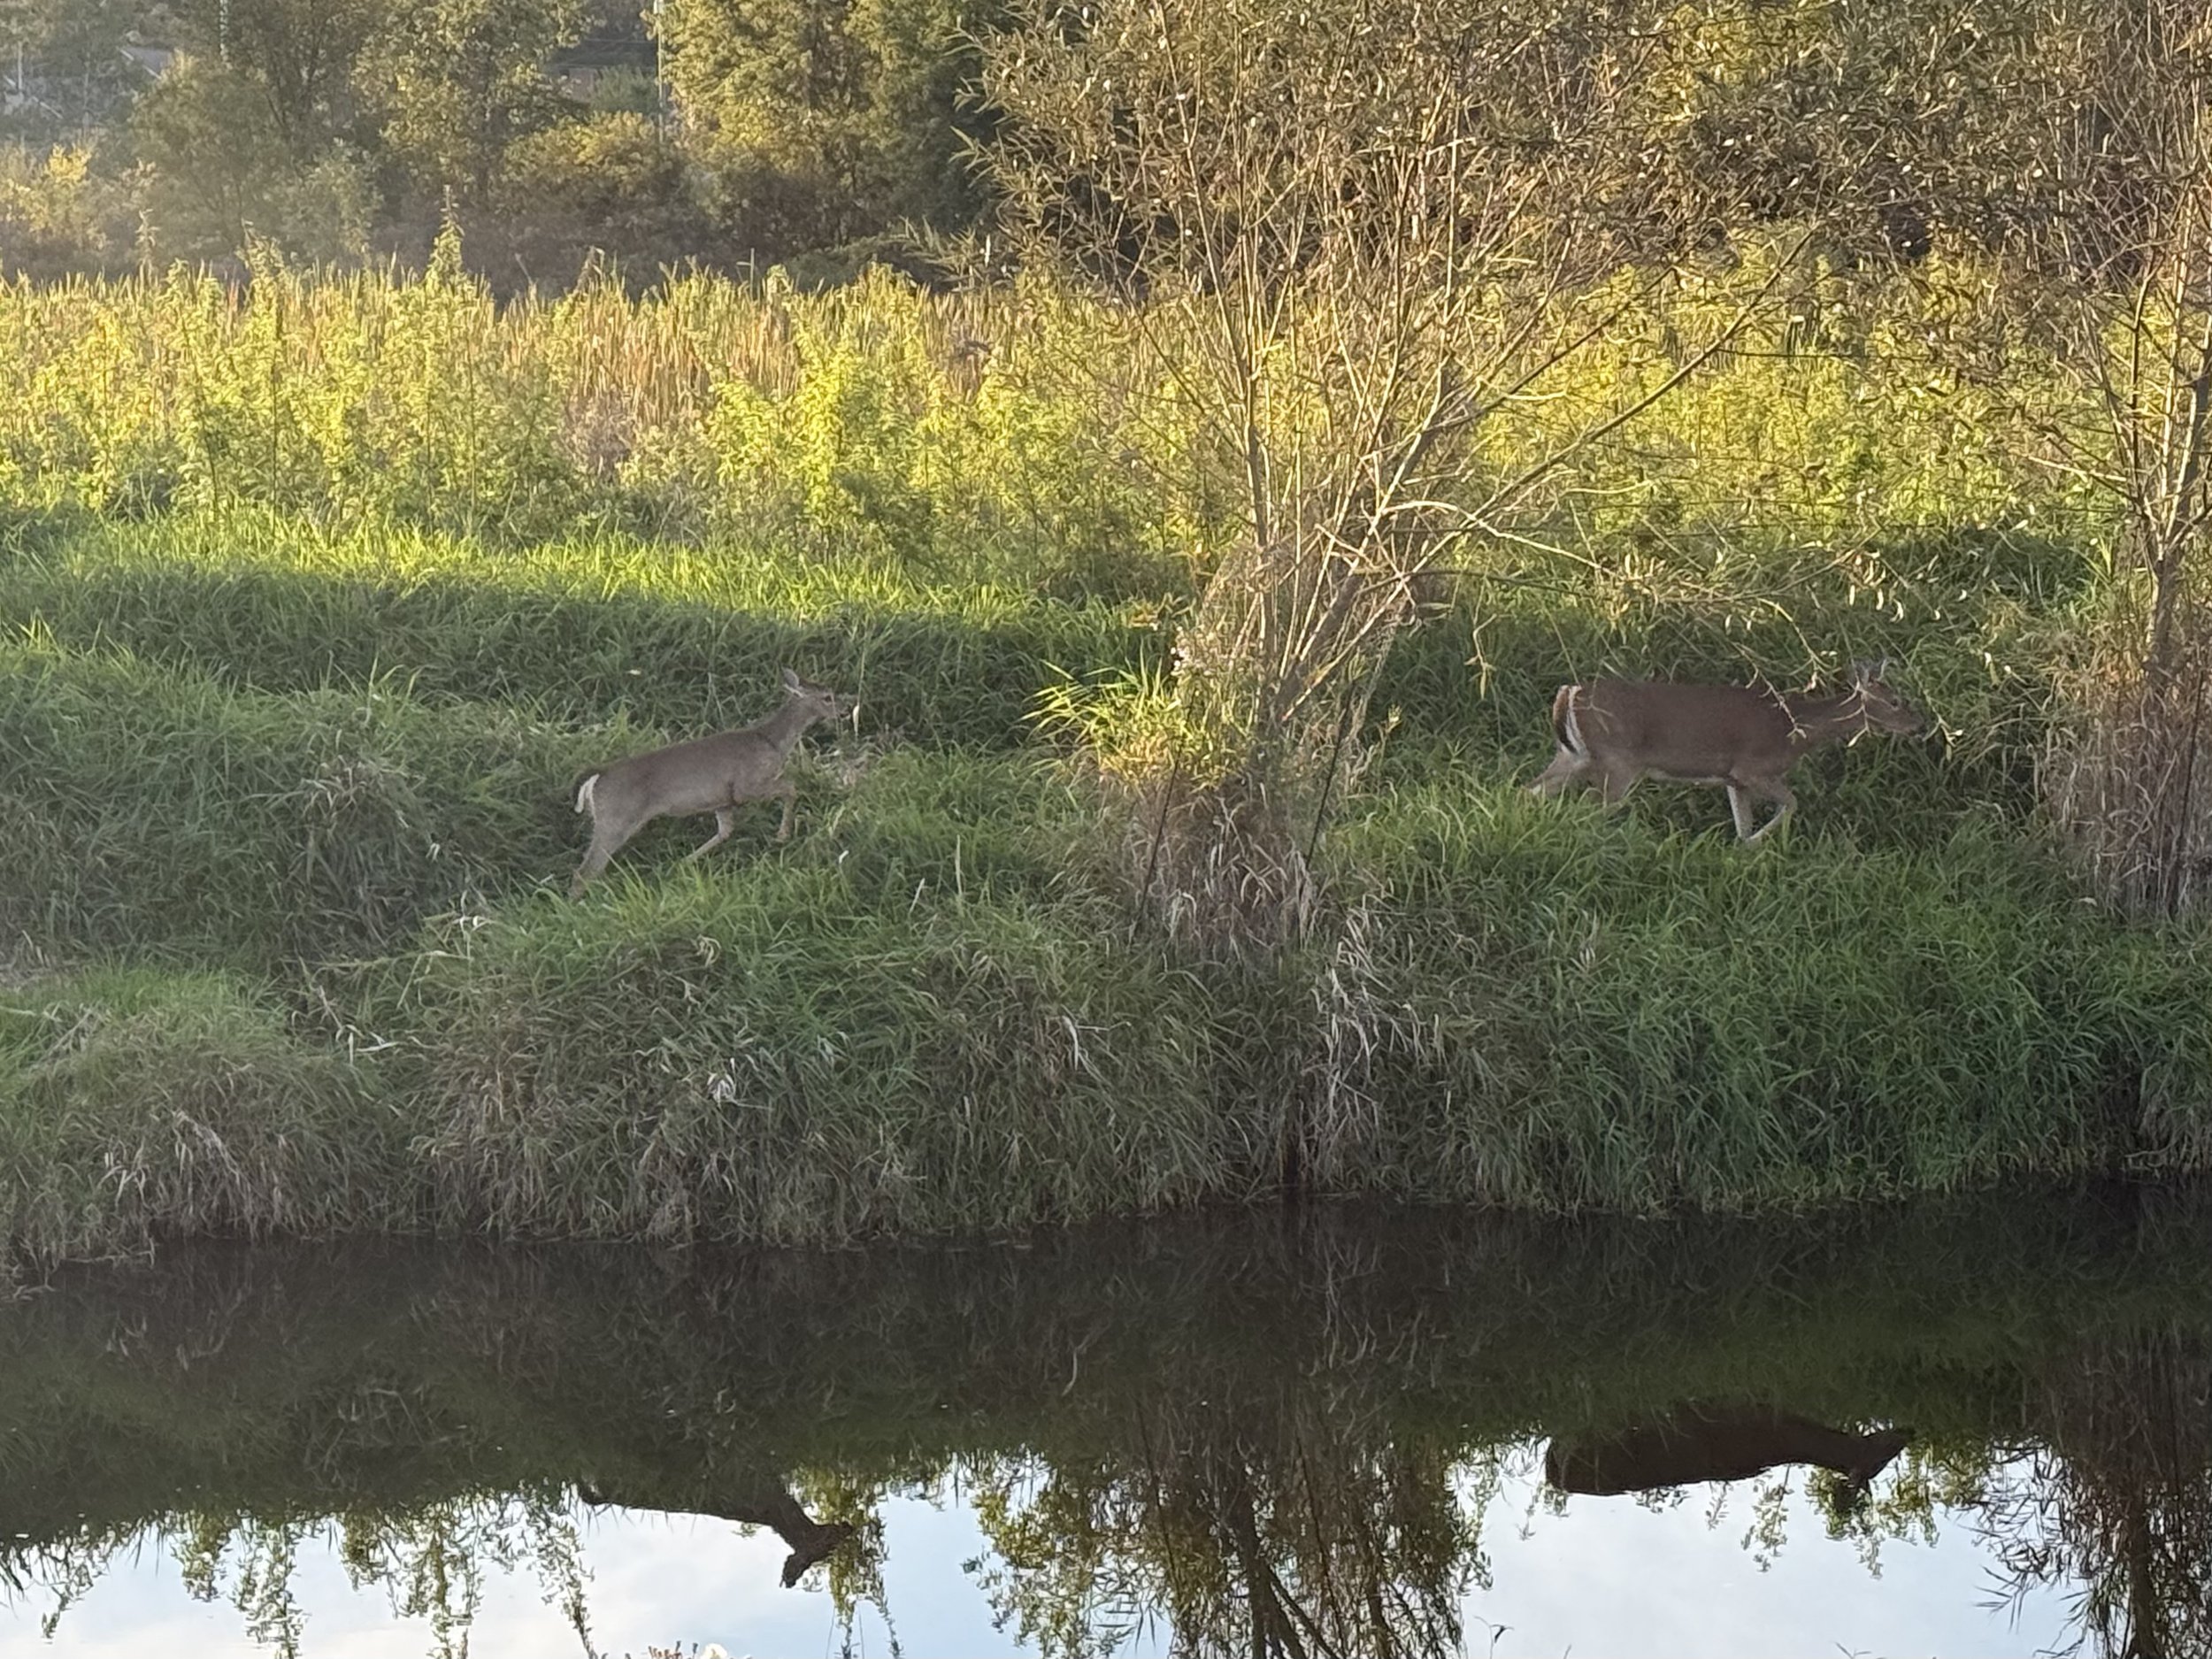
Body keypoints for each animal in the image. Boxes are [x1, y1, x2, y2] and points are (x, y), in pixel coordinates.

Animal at [570, 668, 855, 897]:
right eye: (827, 696)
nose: (845, 711)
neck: (772, 742)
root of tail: (598, 776)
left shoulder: (723, 800)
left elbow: (724, 831)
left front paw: (684, 863)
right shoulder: (746, 785)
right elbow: (790, 788)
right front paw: (782, 835)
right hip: (617, 819)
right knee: (585, 871)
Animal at [1528, 661, 1923, 843]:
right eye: (1895, 700)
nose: (1919, 724)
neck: (1795, 732)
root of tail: (1569, 692)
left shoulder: (1733, 779)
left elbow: (1742, 823)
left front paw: (1743, 849)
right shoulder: (1753, 768)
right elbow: (1792, 803)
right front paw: (1757, 844)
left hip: (1573, 755)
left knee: (1532, 790)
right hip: (1617, 760)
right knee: (1590, 808)